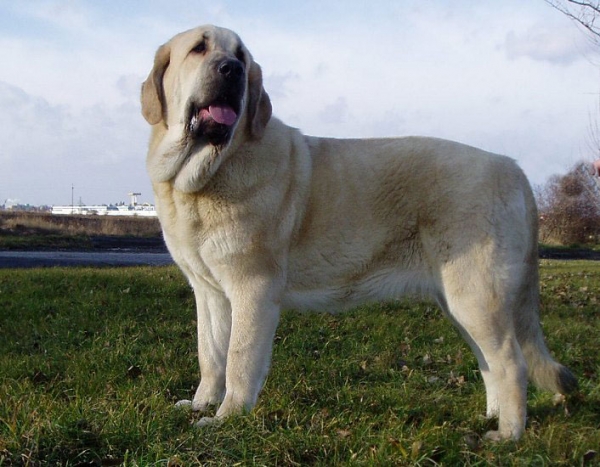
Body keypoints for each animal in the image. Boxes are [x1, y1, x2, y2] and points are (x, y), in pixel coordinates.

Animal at [141, 24, 576, 442]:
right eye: (199, 48)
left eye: (241, 57)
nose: (231, 69)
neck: (202, 177)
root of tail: (514, 168)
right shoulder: (210, 293)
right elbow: (210, 355)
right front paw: (201, 404)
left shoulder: (253, 288)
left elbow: (238, 360)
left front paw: (228, 418)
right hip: (460, 304)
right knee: (490, 364)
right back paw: (491, 416)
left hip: (478, 297)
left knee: (511, 363)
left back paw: (509, 434)